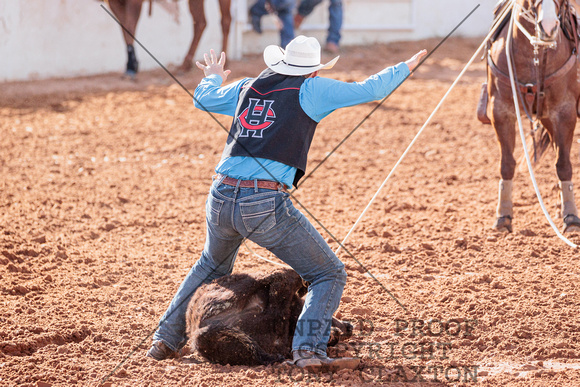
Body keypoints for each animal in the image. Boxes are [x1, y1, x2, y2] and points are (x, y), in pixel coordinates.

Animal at [482, 0, 580, 233]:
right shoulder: (501, 111)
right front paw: (503, 216)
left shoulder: (565, 112)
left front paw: (571, 217)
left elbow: (563, 164)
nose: (549, 27)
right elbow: (507, 164)